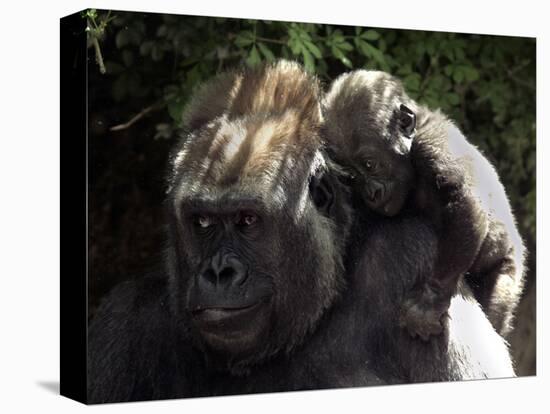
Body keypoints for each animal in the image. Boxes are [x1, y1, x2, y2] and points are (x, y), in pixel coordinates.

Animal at [326, 70, 528, 340]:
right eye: (351, 176)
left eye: (370, 164)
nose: (372, 194)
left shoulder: (433, 146)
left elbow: (464, 202)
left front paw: (429, 301)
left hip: (510, 268)